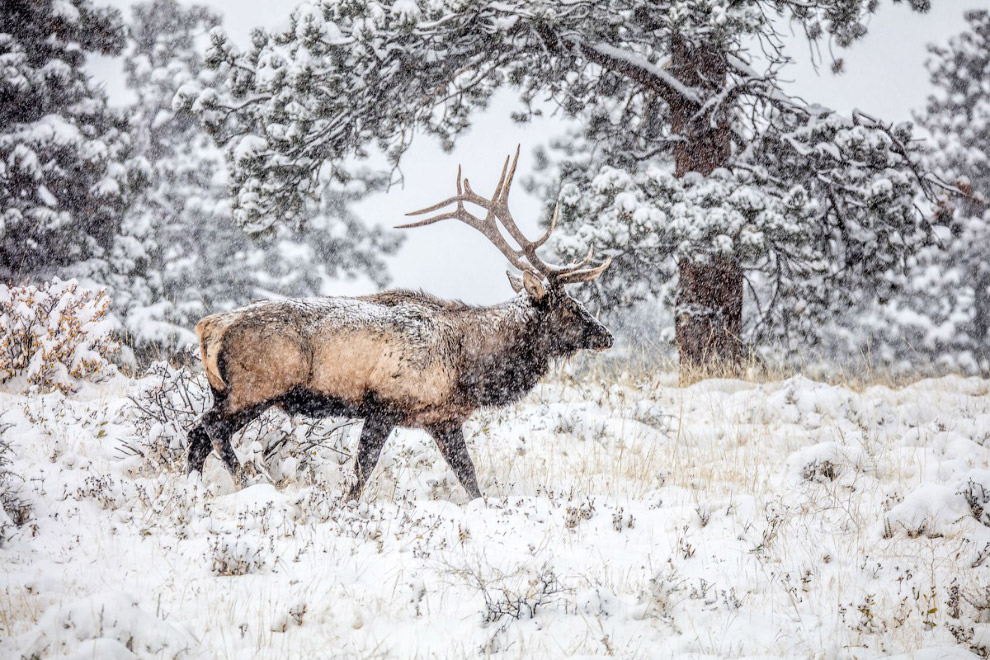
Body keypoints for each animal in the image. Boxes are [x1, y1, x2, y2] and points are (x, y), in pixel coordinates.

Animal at [186, 148, 612, 500]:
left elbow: (469, 478)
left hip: (226, 392)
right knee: (210, 428)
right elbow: (362, 472)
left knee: (196, 434)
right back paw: (248, 483)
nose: (606, 335)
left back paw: (191, 492)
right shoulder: (384, 404)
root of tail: (209, 327)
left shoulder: (442, 419)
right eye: (570, 307)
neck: (468, 366)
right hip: (253, 389)